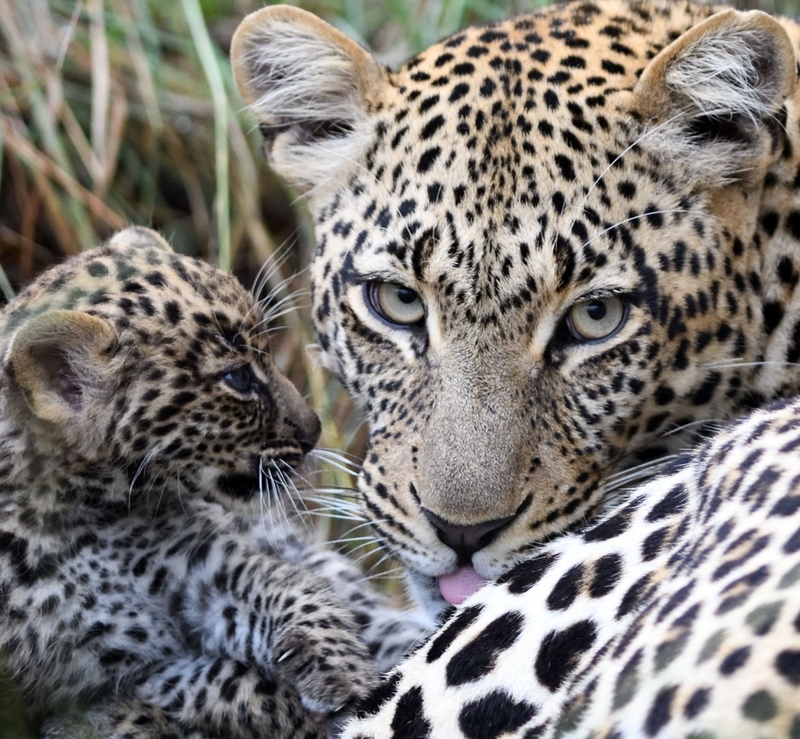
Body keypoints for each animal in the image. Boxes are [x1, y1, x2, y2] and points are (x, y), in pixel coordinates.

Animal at [0, 228, 424, 736]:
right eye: (237, 377)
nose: (313, 431)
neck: (65, 518)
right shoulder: (78, 678)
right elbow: (222, 686)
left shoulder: (197, 563)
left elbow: (282, 588)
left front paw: (346, 672)